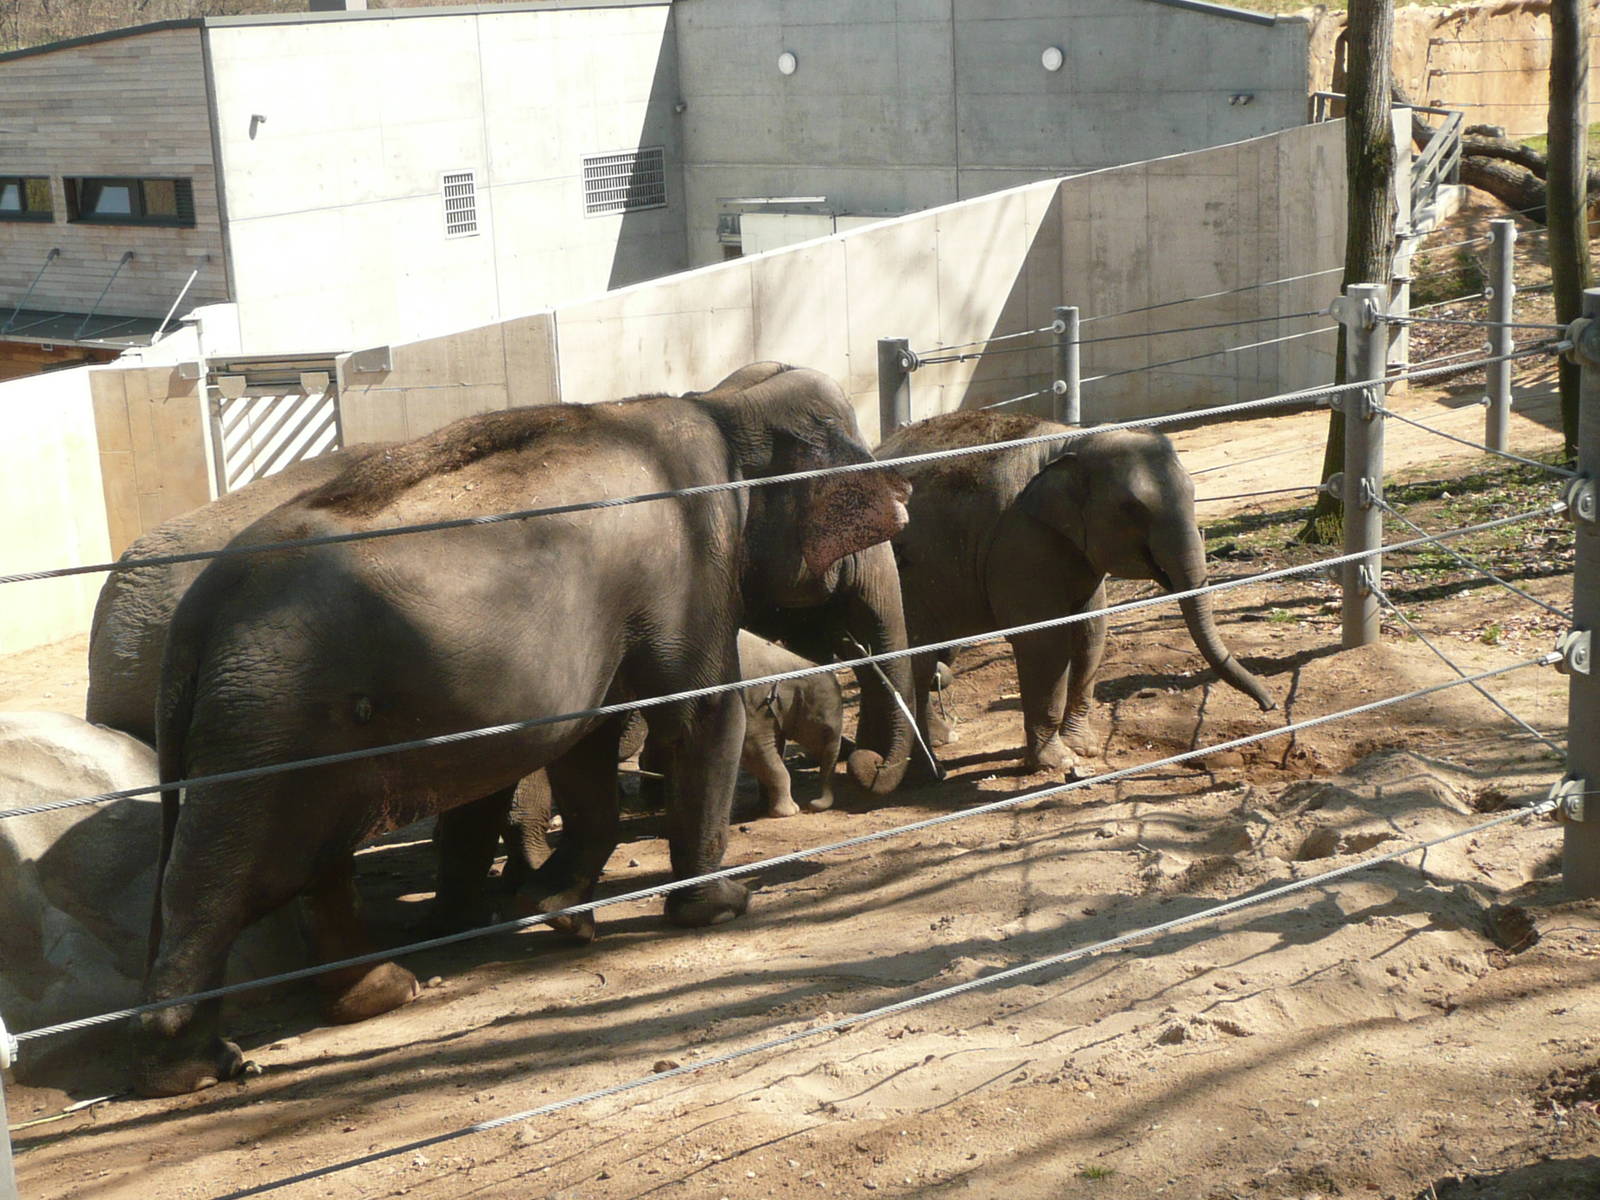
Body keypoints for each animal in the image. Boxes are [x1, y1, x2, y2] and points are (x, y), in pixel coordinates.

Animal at [134, 362, 911, 1096]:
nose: (868, 769)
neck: (717, 403)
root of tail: (195, 618)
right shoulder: (692, 555)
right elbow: (699, 712)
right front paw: (721, 908)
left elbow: (590, 738)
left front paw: (557, 910)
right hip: (268, 721)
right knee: (238, 870)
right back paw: (196, 1064)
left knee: (313, 858)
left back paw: (381, 993)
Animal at [877, 410, 1275, 775]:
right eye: (1132, 509)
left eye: (1194, 494)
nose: (1269, 705)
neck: (1071, 442)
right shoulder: (1019, 539)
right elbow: (1044, 641)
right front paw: (1058, 762)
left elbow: (1091, 631)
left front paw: (1084, 747)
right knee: (917, 657)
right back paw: (930, 770)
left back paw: (942, 740)